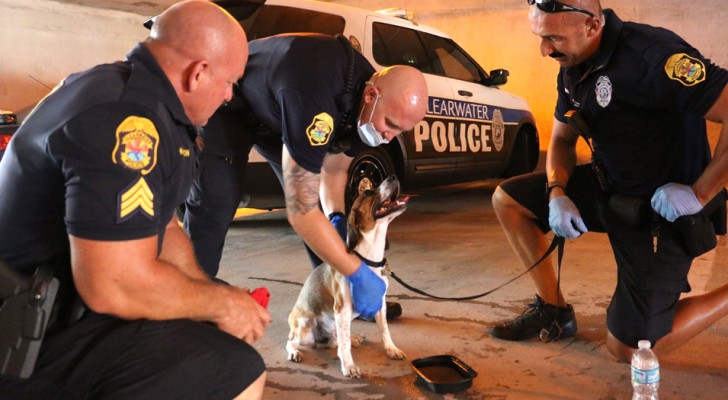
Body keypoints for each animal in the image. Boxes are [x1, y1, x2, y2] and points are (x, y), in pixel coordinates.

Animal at [286, 176, 410, 378]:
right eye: (367, 192)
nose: (392, 176)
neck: (369, 259)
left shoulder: (379, 302)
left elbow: (385, 330)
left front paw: (392, 349)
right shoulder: (342, 308)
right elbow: (345, 346)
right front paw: (349, 366)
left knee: (336, 339)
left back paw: (354, 338)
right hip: (304, 327)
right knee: (292, 341)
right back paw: (294, 352)